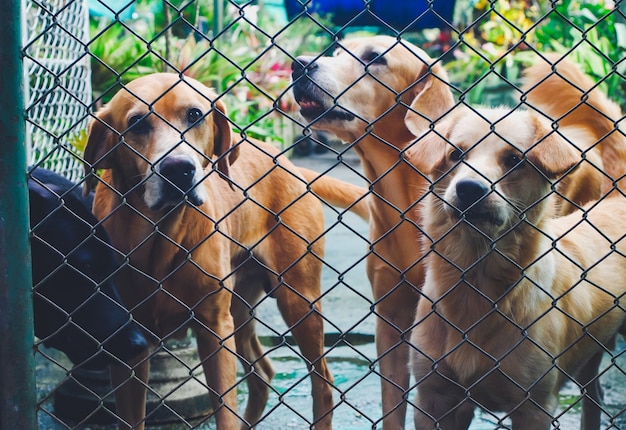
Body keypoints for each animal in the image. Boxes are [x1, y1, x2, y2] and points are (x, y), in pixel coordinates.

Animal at [81, 72, 368, 428]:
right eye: (136, 123)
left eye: (194, 115)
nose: (178, 169)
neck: (162, 238)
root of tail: (287, 162)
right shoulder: (129, 346)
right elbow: (132, 418)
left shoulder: (215, 330)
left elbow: (225, 411)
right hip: (241, 310)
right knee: (262, 374)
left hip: (299, 301)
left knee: (323, 382)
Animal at [404, 104, 624, 430]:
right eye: (456, 153)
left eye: (514, 160)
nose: (469, 189)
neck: (477, 284)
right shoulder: (434, 399)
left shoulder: (533, 408)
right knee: (593, 395)